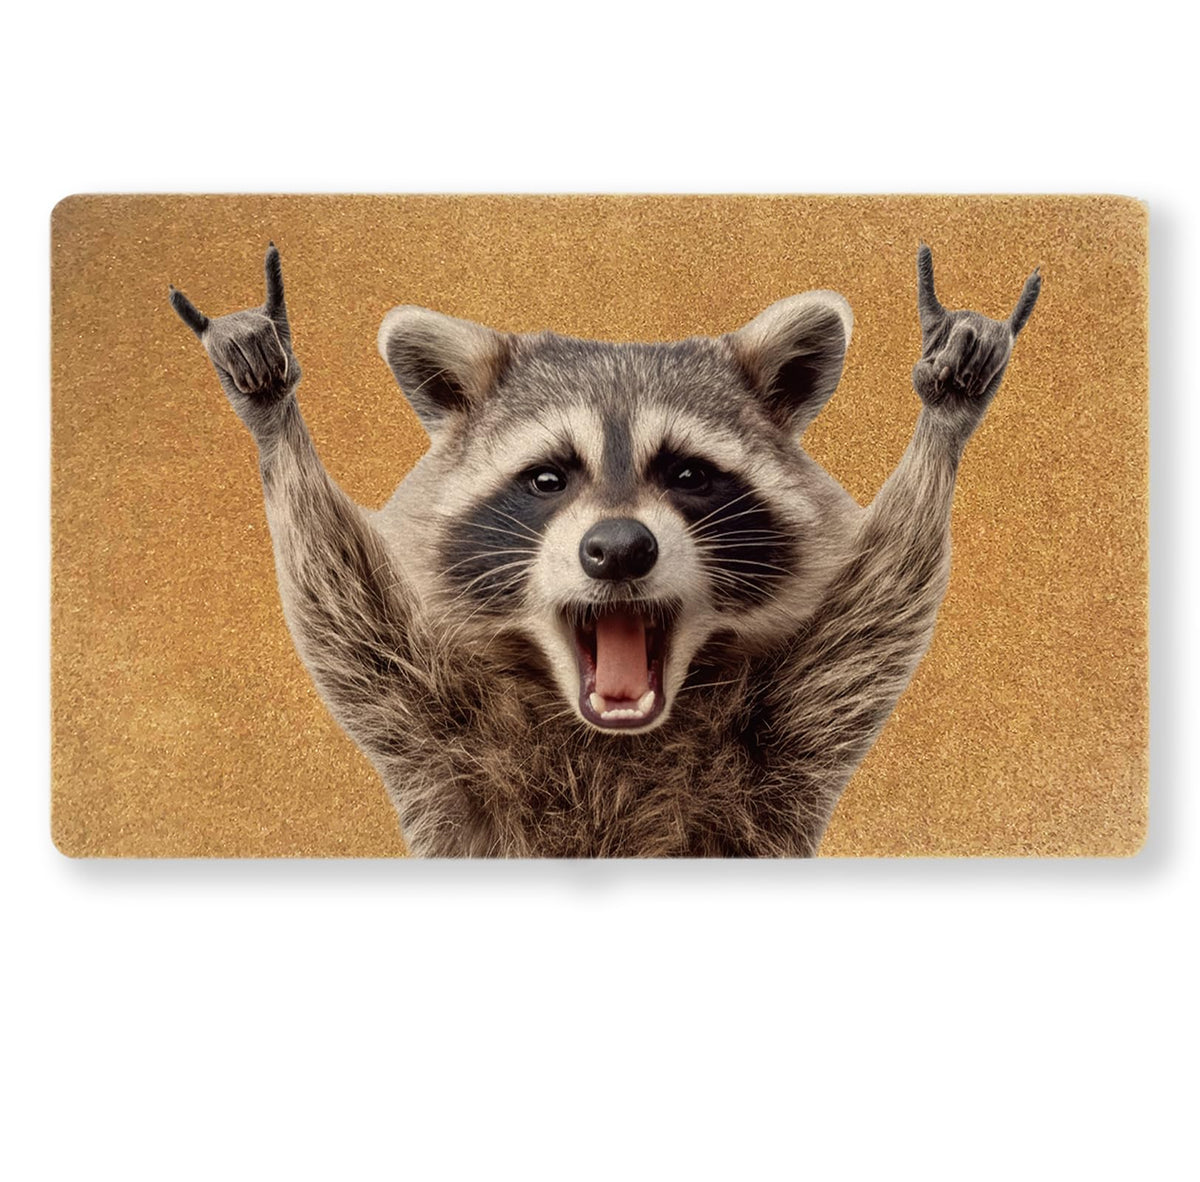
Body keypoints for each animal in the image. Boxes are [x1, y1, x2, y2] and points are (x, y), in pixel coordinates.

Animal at [169, 243, 1040, 856]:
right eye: (547, 477)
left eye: (687, 473)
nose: (619, 548)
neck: (614, 741)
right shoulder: (435, 737)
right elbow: (343, 603)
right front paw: (271, 415)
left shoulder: (793, 734)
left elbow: (882, 597)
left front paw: (947, 416)